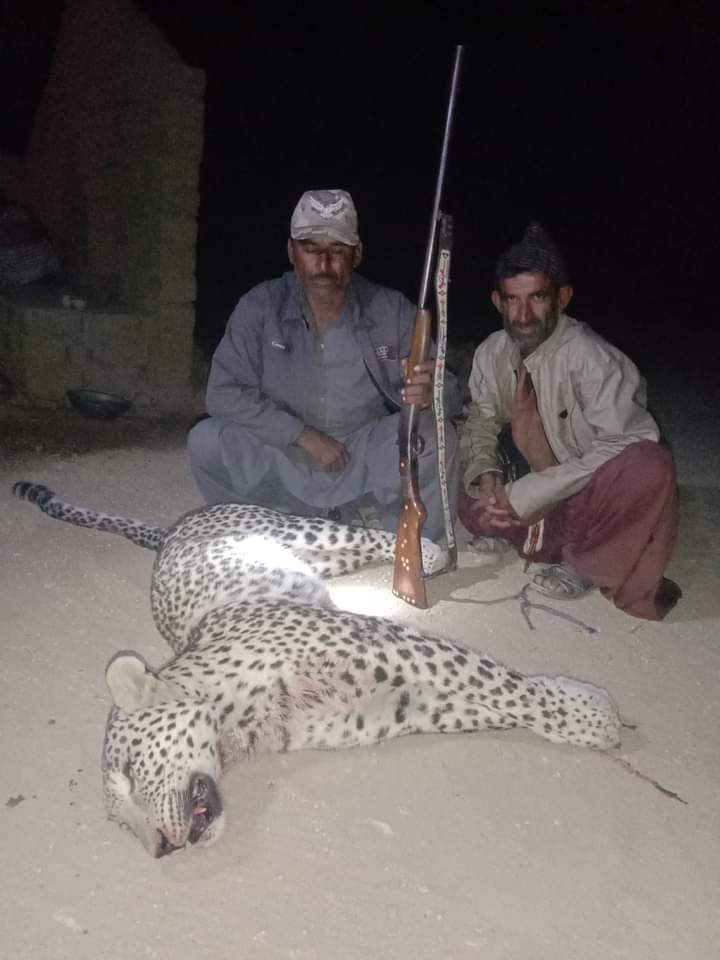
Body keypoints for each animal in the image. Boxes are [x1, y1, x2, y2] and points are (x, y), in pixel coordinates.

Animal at [14, 480, 622, 859]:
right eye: (120, 826)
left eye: (129, 772)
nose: (160, 851)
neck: (236, 725)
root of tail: (171, 532)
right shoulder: (397, 702)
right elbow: (484, 702)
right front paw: (580, 710)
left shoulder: (389, 645)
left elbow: (504, 685)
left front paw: (591, 713)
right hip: (314, 558)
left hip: (301, 533)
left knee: (362, 533)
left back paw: (430, 551)